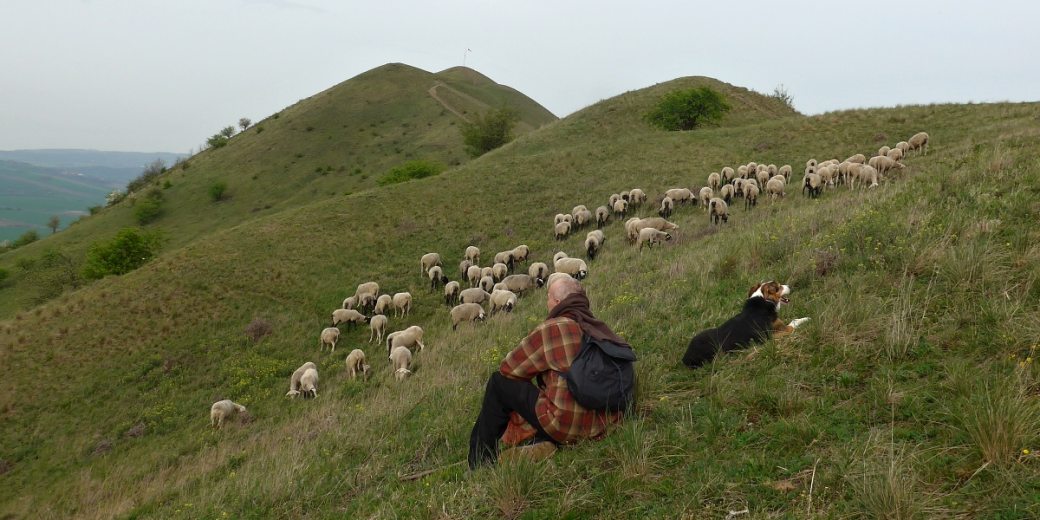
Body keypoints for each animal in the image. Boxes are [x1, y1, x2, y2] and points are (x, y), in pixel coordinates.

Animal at [682, 280, 811, 370]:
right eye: (778, 287)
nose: (790, 286)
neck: (764, 300)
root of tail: (685, 358)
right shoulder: (774, 334)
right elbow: (793, 322)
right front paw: (807, 319)